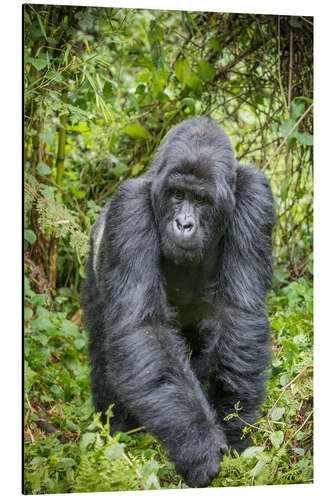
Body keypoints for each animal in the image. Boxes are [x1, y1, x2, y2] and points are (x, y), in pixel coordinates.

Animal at [81, 117, 274, 488]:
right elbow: (144, 329)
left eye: (200, 199)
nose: (183, 224)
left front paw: (234, 428)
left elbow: (237, 313)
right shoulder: (129, 209)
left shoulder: (256, 196)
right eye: (177, 195)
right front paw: (199, 449)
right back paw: (118, 428)